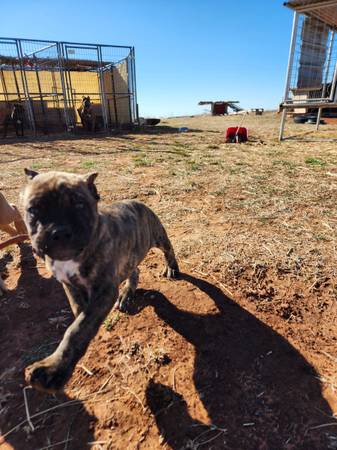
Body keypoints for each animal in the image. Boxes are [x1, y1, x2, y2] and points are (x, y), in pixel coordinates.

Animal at [21, 169, 178, 394]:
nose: (59, 231)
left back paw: (172, 267)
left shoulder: (104, 291)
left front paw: (53, 368)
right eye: (33, 210)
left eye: (79, 204)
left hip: (158, 236)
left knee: (168, 249)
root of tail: (137, 202)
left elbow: (77, 330)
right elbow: (79, 313)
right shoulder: (68, 285)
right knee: (134, 270)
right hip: (130, 257)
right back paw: (127, 294)